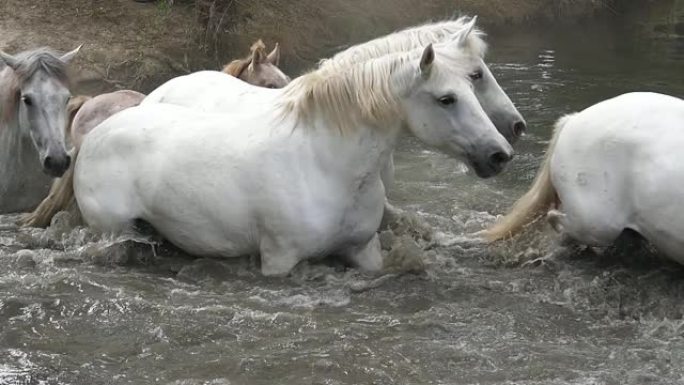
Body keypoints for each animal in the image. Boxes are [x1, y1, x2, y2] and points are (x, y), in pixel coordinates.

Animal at [75, 39, 512, 274]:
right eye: (447, 98)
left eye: (473, 82)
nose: (500, 153)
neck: (323, 165)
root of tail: (96, 134)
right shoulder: (279, 260)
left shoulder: (364, 250)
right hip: (112, 232)